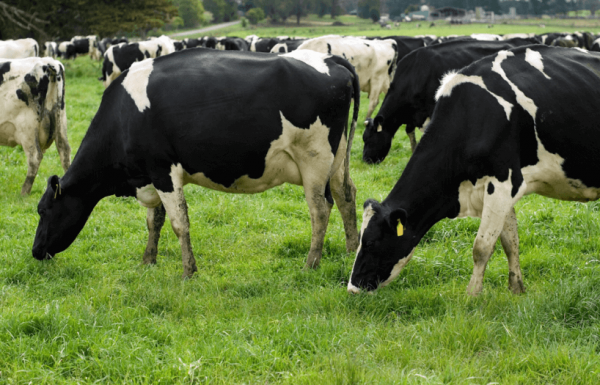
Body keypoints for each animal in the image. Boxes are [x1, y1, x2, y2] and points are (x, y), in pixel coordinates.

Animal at [0, 56, 71, 195]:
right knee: (65, 152)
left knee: (34, 158)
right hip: (61, 121)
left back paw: (24, 192)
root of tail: (48, 62)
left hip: (27, 128)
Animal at [32, 48, 358, 276]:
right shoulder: (152, 175)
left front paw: (189, 271)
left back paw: (311, 264)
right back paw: (352, 249)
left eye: (43, 210)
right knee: (345, 196)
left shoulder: (163, 170)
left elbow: (179, 223)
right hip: (337, 159)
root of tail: (330, 59)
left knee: (320, 210)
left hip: (314, 158)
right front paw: (148, 260)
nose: (35, 251)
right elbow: (154, 221)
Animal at [364, 38, 540, 164]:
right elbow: (410, 132)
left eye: (370, 139)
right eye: (363, 138)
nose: (365, 161)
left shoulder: (431, 109)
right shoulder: (413, 114)